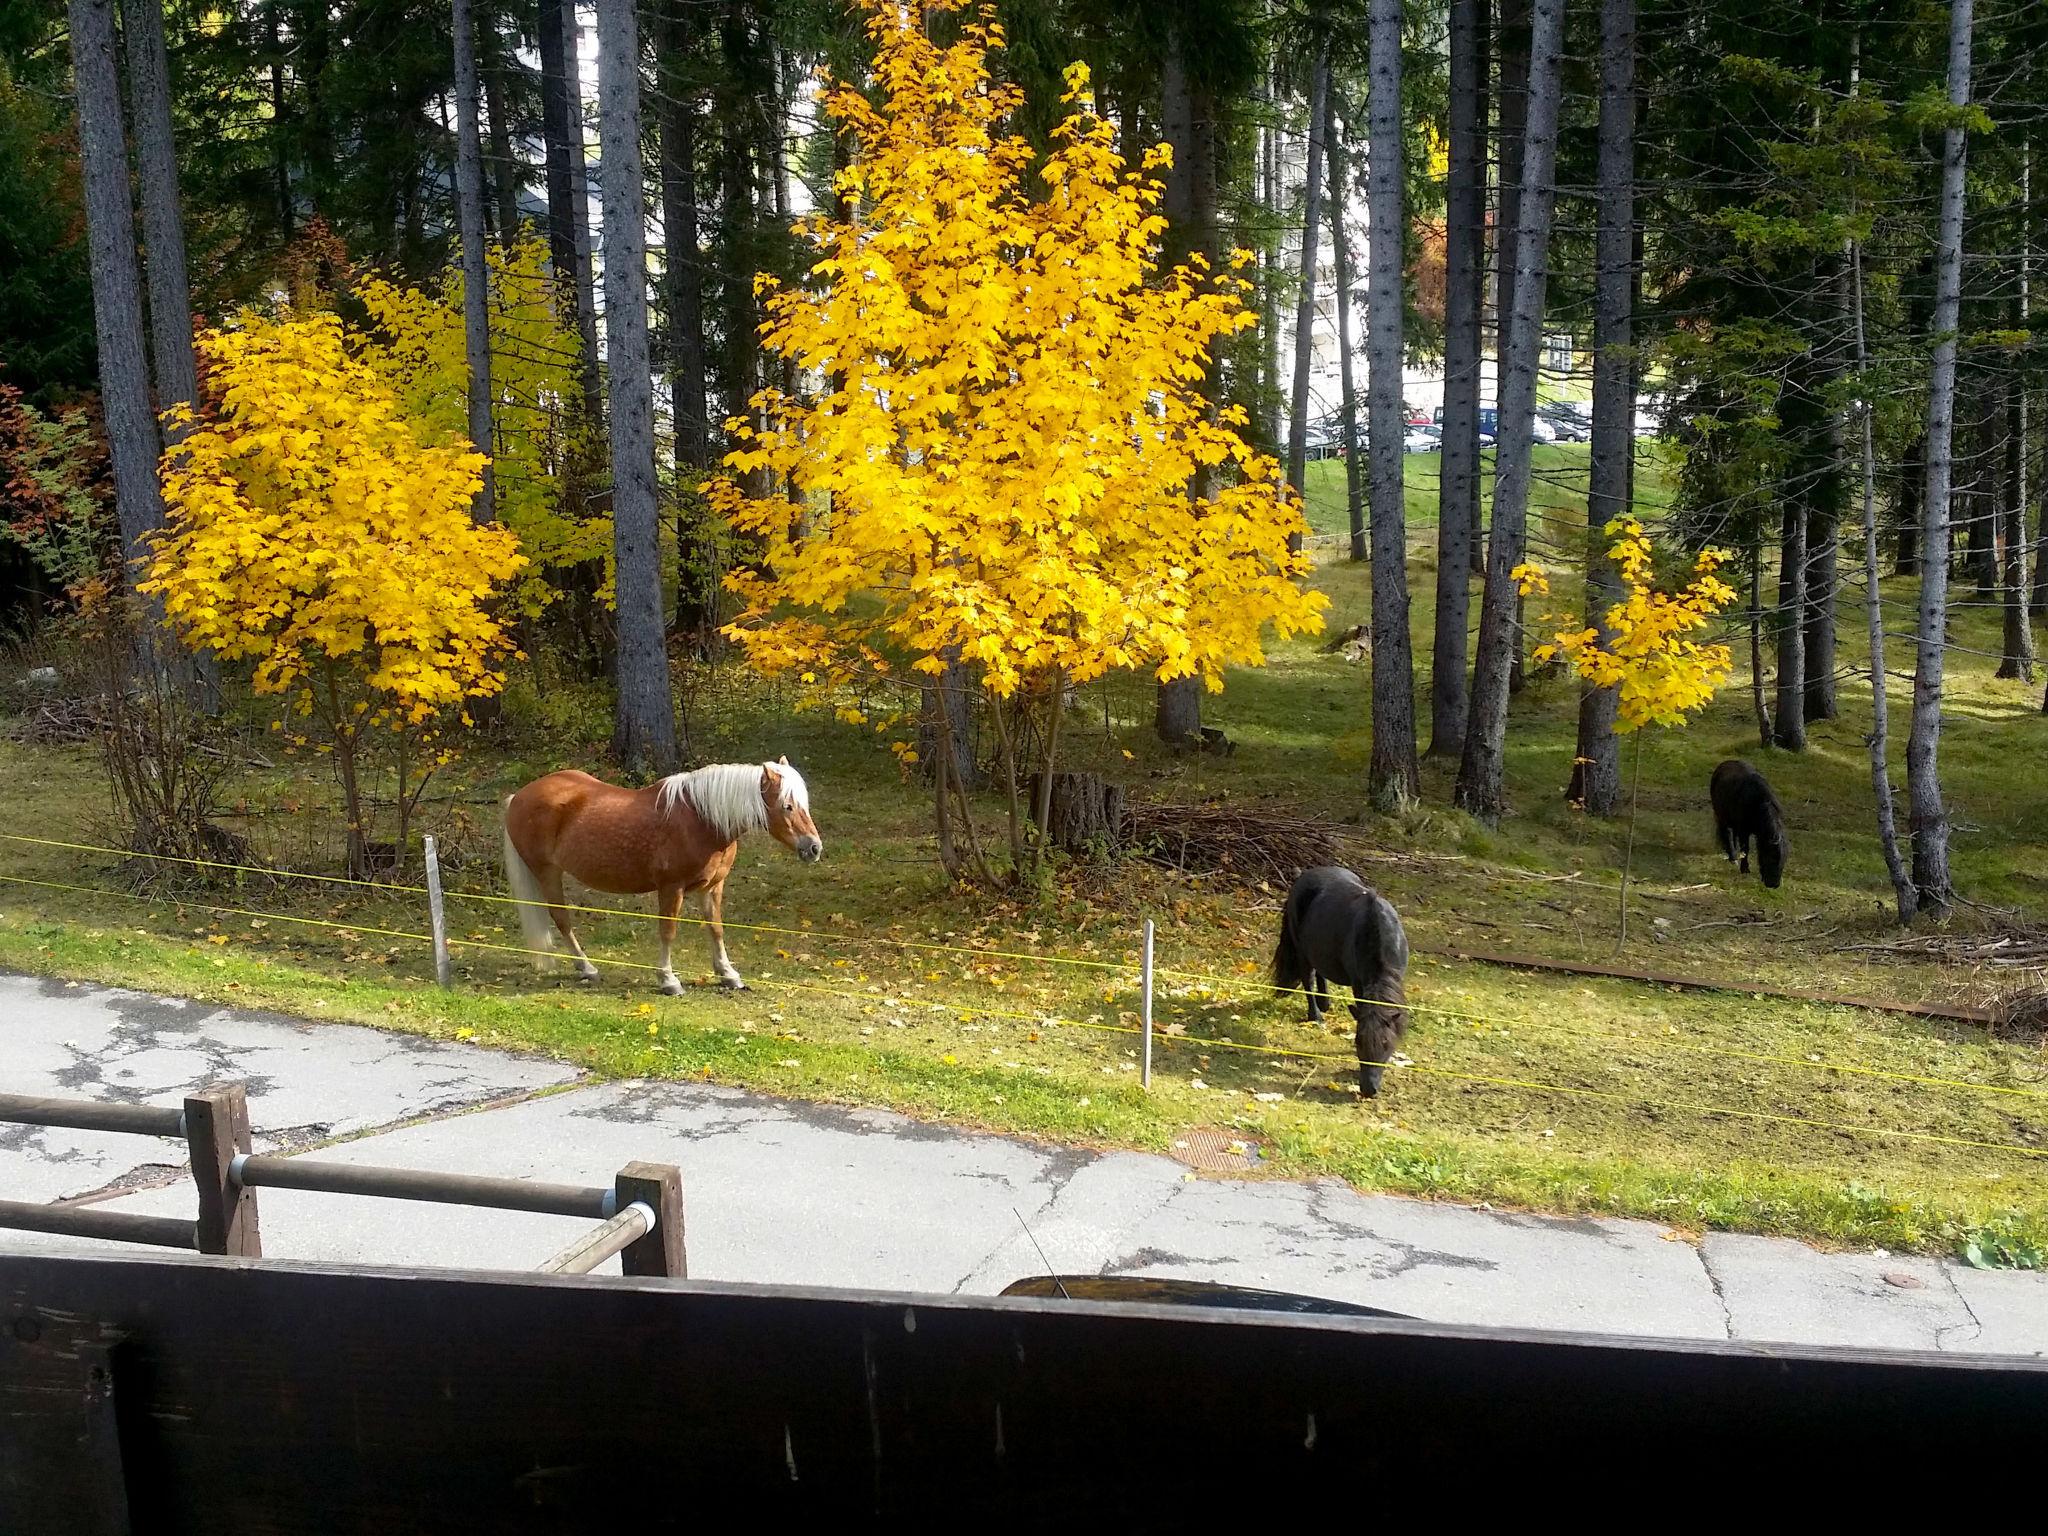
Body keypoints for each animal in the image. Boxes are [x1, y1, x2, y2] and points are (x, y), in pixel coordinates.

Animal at [499, 761, 819, 999]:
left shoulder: (712, 888)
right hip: (547, 871)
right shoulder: (671, 889)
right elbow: (668, 932)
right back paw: (587, 967)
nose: (814, 848)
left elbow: (715, 929)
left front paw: (728, 975)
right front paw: (668, 980)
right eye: (787, 806)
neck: (701, 819)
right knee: (561, 918)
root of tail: (518, 797)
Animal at [1261, 872, 1409, 1097]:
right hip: (1302, 951)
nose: (1369, 1089)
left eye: (1385, 1044)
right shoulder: (1358, 983)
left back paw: (1325, 1004)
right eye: (1358, 1041)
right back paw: (1316, 1015)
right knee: (1308, 979)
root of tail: (1303, 877)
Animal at [1712, 757, 1794, 888]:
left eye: (1784, 859)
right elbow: (1746, 849)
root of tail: (1724, 764)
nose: (1774, 884)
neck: (1758, 804)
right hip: (1722, 816)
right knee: (1727, 834)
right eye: (1771, 857)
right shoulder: (1744, 831)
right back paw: (1733, 858)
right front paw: (1745, 869)